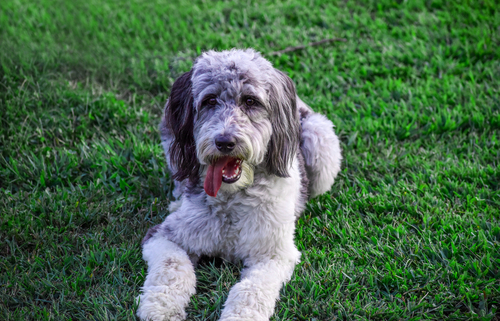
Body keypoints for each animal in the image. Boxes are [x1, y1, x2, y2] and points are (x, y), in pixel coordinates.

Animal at [135, 48, 342, 320]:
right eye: (209, 100)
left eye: (250, 101)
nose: (224, 142)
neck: (231, 201)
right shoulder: (164, 235)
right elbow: (172, 266)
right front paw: (161, 307)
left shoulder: (273, 254)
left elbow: (251, 289)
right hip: (171, 142)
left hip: (321, 140)